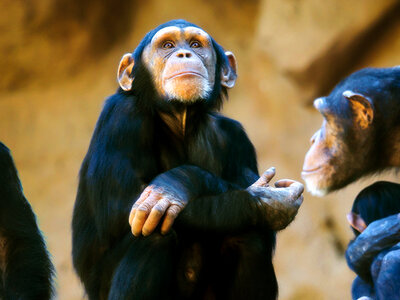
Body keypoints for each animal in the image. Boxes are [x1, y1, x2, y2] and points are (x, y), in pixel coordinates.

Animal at [72, 19, 304, 300]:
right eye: (167, 45)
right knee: (153, 236)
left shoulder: (236, 137)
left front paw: (177, 184)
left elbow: (265, 232)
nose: (184, 53)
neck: (179, 119)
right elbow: (121, 208)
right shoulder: (120, 116)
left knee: (250, 238)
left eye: (195, 44)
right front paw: (268, 201)